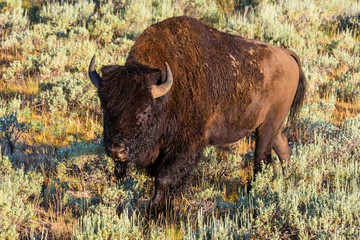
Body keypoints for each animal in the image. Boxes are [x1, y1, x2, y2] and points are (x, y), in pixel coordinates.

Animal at [88, 16, 306, 208]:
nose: (117, 151)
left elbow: (163, 178)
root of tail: (287, 54)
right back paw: (286, 179)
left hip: (268, 124)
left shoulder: (186, 146)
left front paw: (155, 207)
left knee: (261, 158)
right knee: (282, 148)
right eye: (104, 107)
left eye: (144, 110)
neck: (167, 93)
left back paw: (253, 191)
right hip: (271, 126)